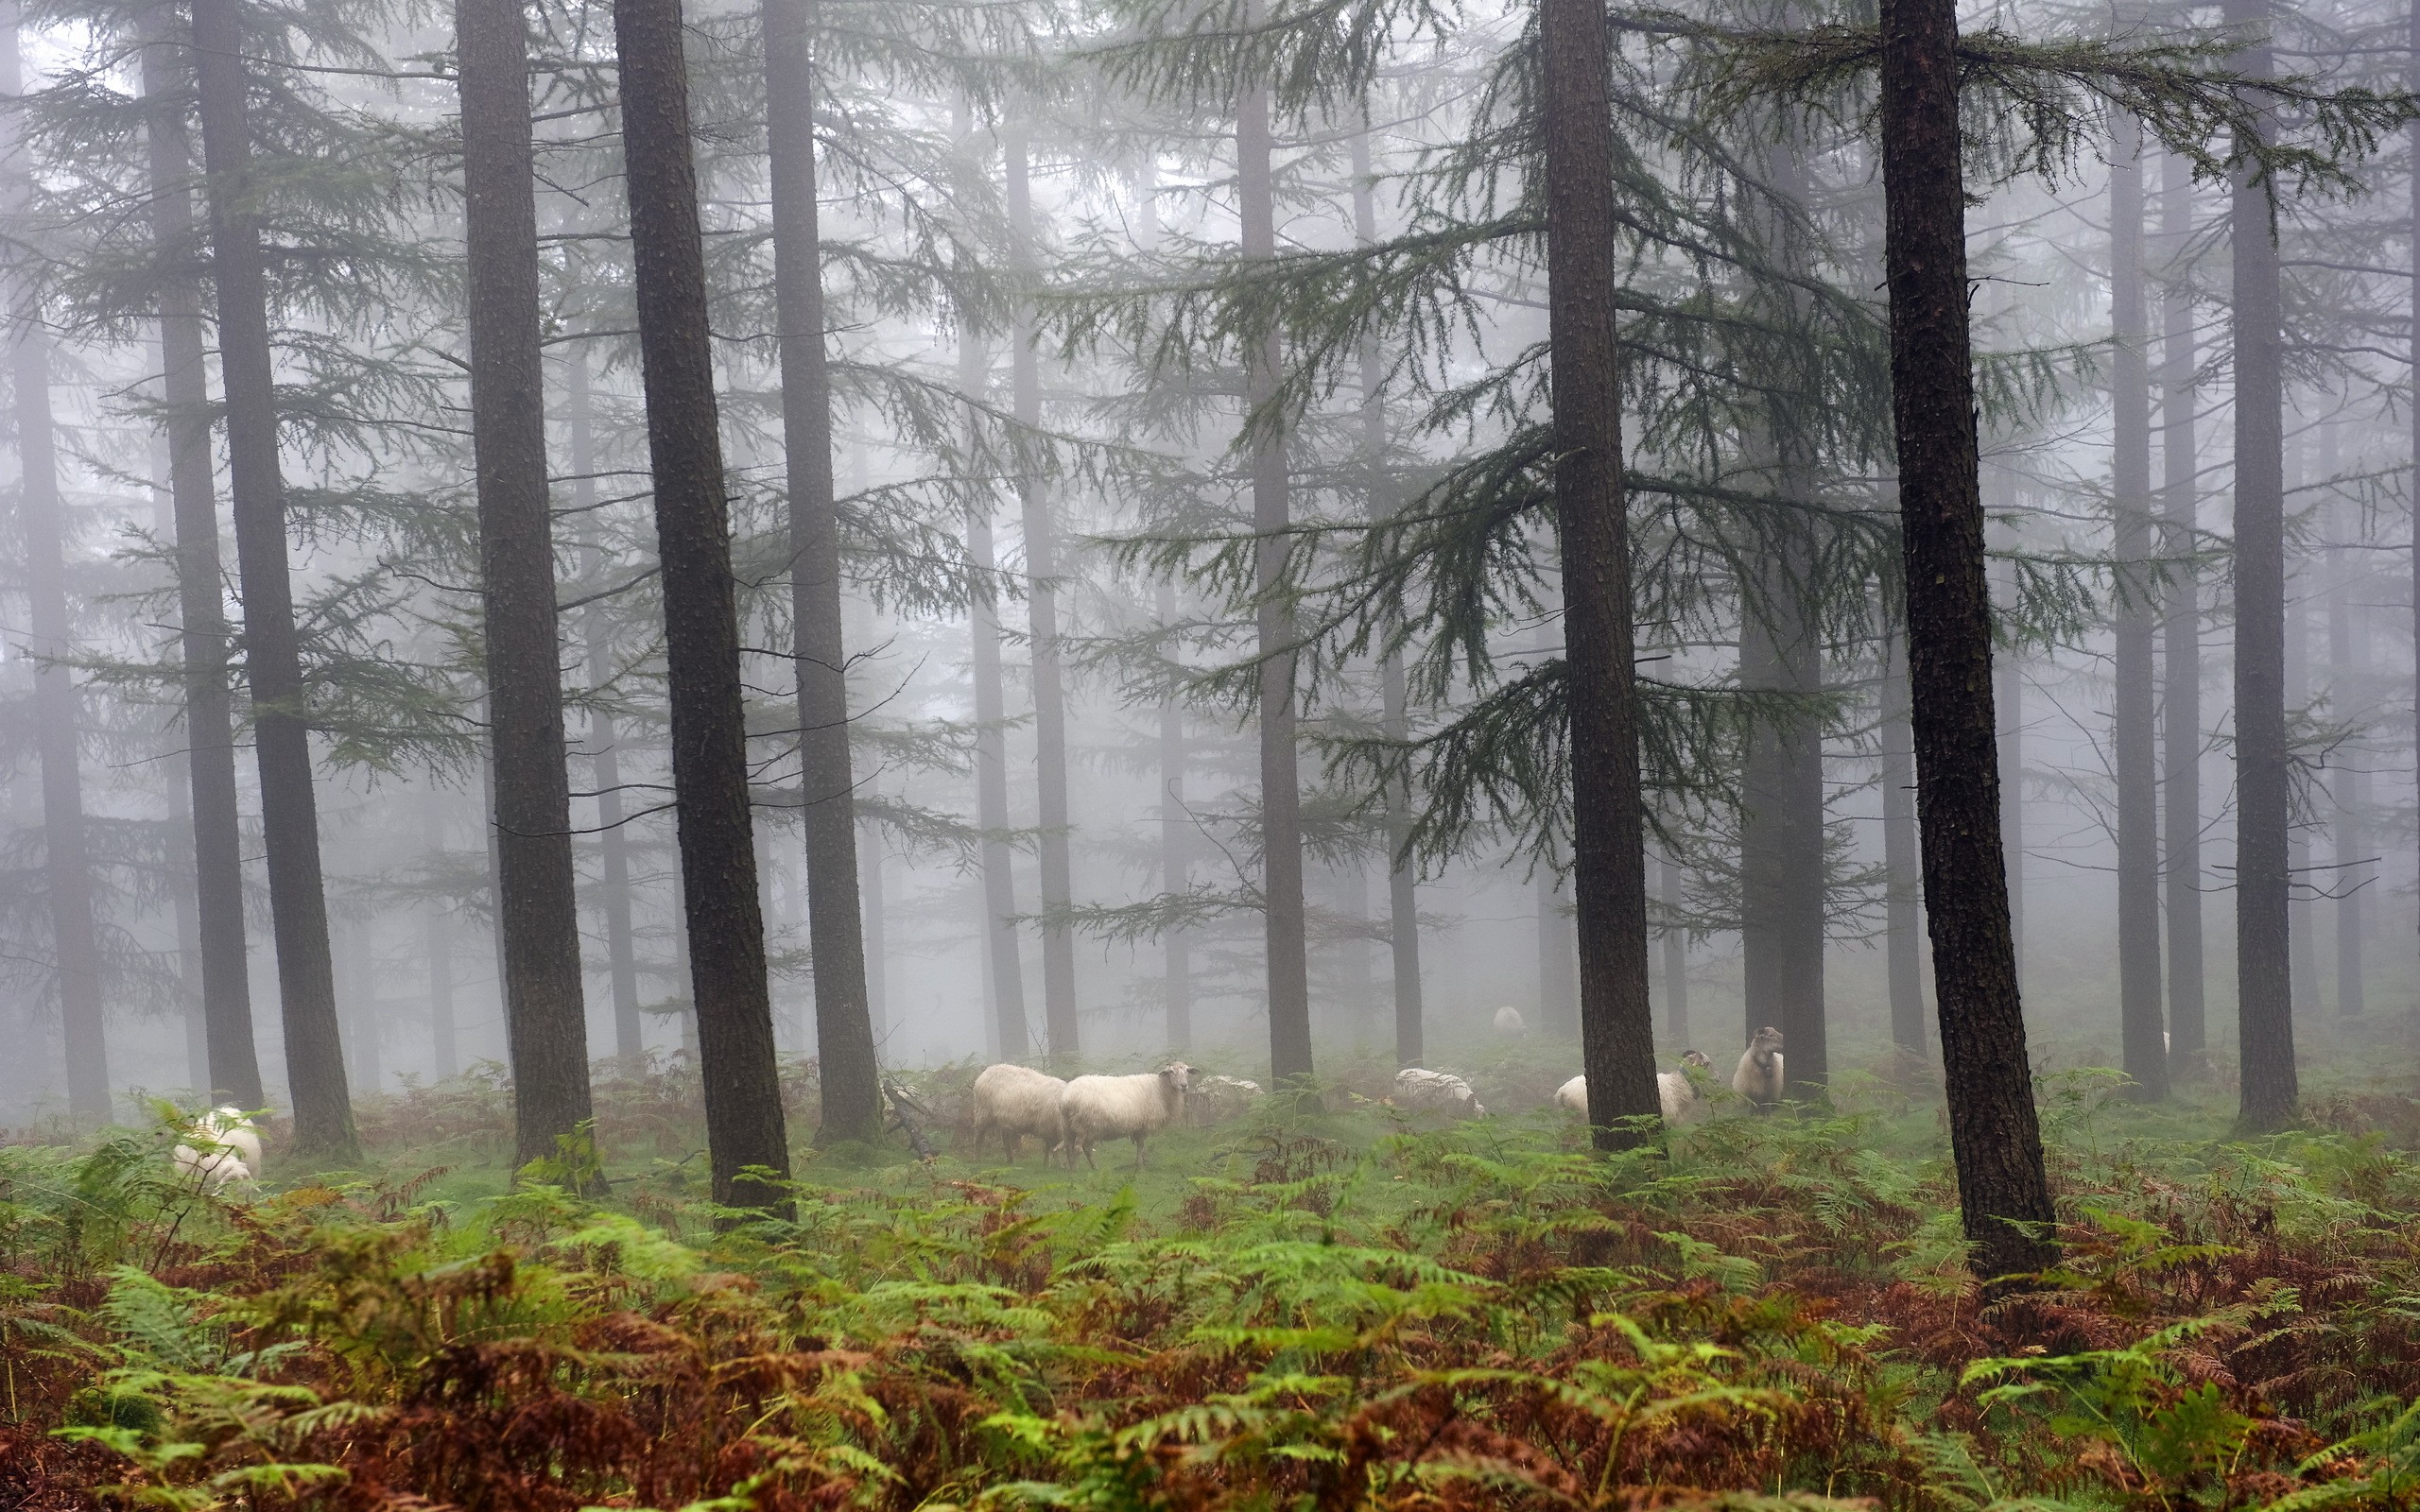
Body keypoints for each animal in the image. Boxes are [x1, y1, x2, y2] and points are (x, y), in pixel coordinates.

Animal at [1064, 1055, 1195, 1176]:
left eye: (1187, 1071)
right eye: (1171, 1071)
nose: (1184, 1085)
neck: (1161, 1088)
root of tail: (1067, 1096)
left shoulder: (1138, 1126)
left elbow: (1139, 1145)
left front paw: (1138, 1164)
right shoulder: (1143, 1125)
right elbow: (1141, 1146)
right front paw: (1140, 1166)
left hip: (1072, 1127)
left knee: (1072, 1148)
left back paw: (1084, 1167)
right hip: (1083, 1126)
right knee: (1078, 1148)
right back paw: (1076, 1171)